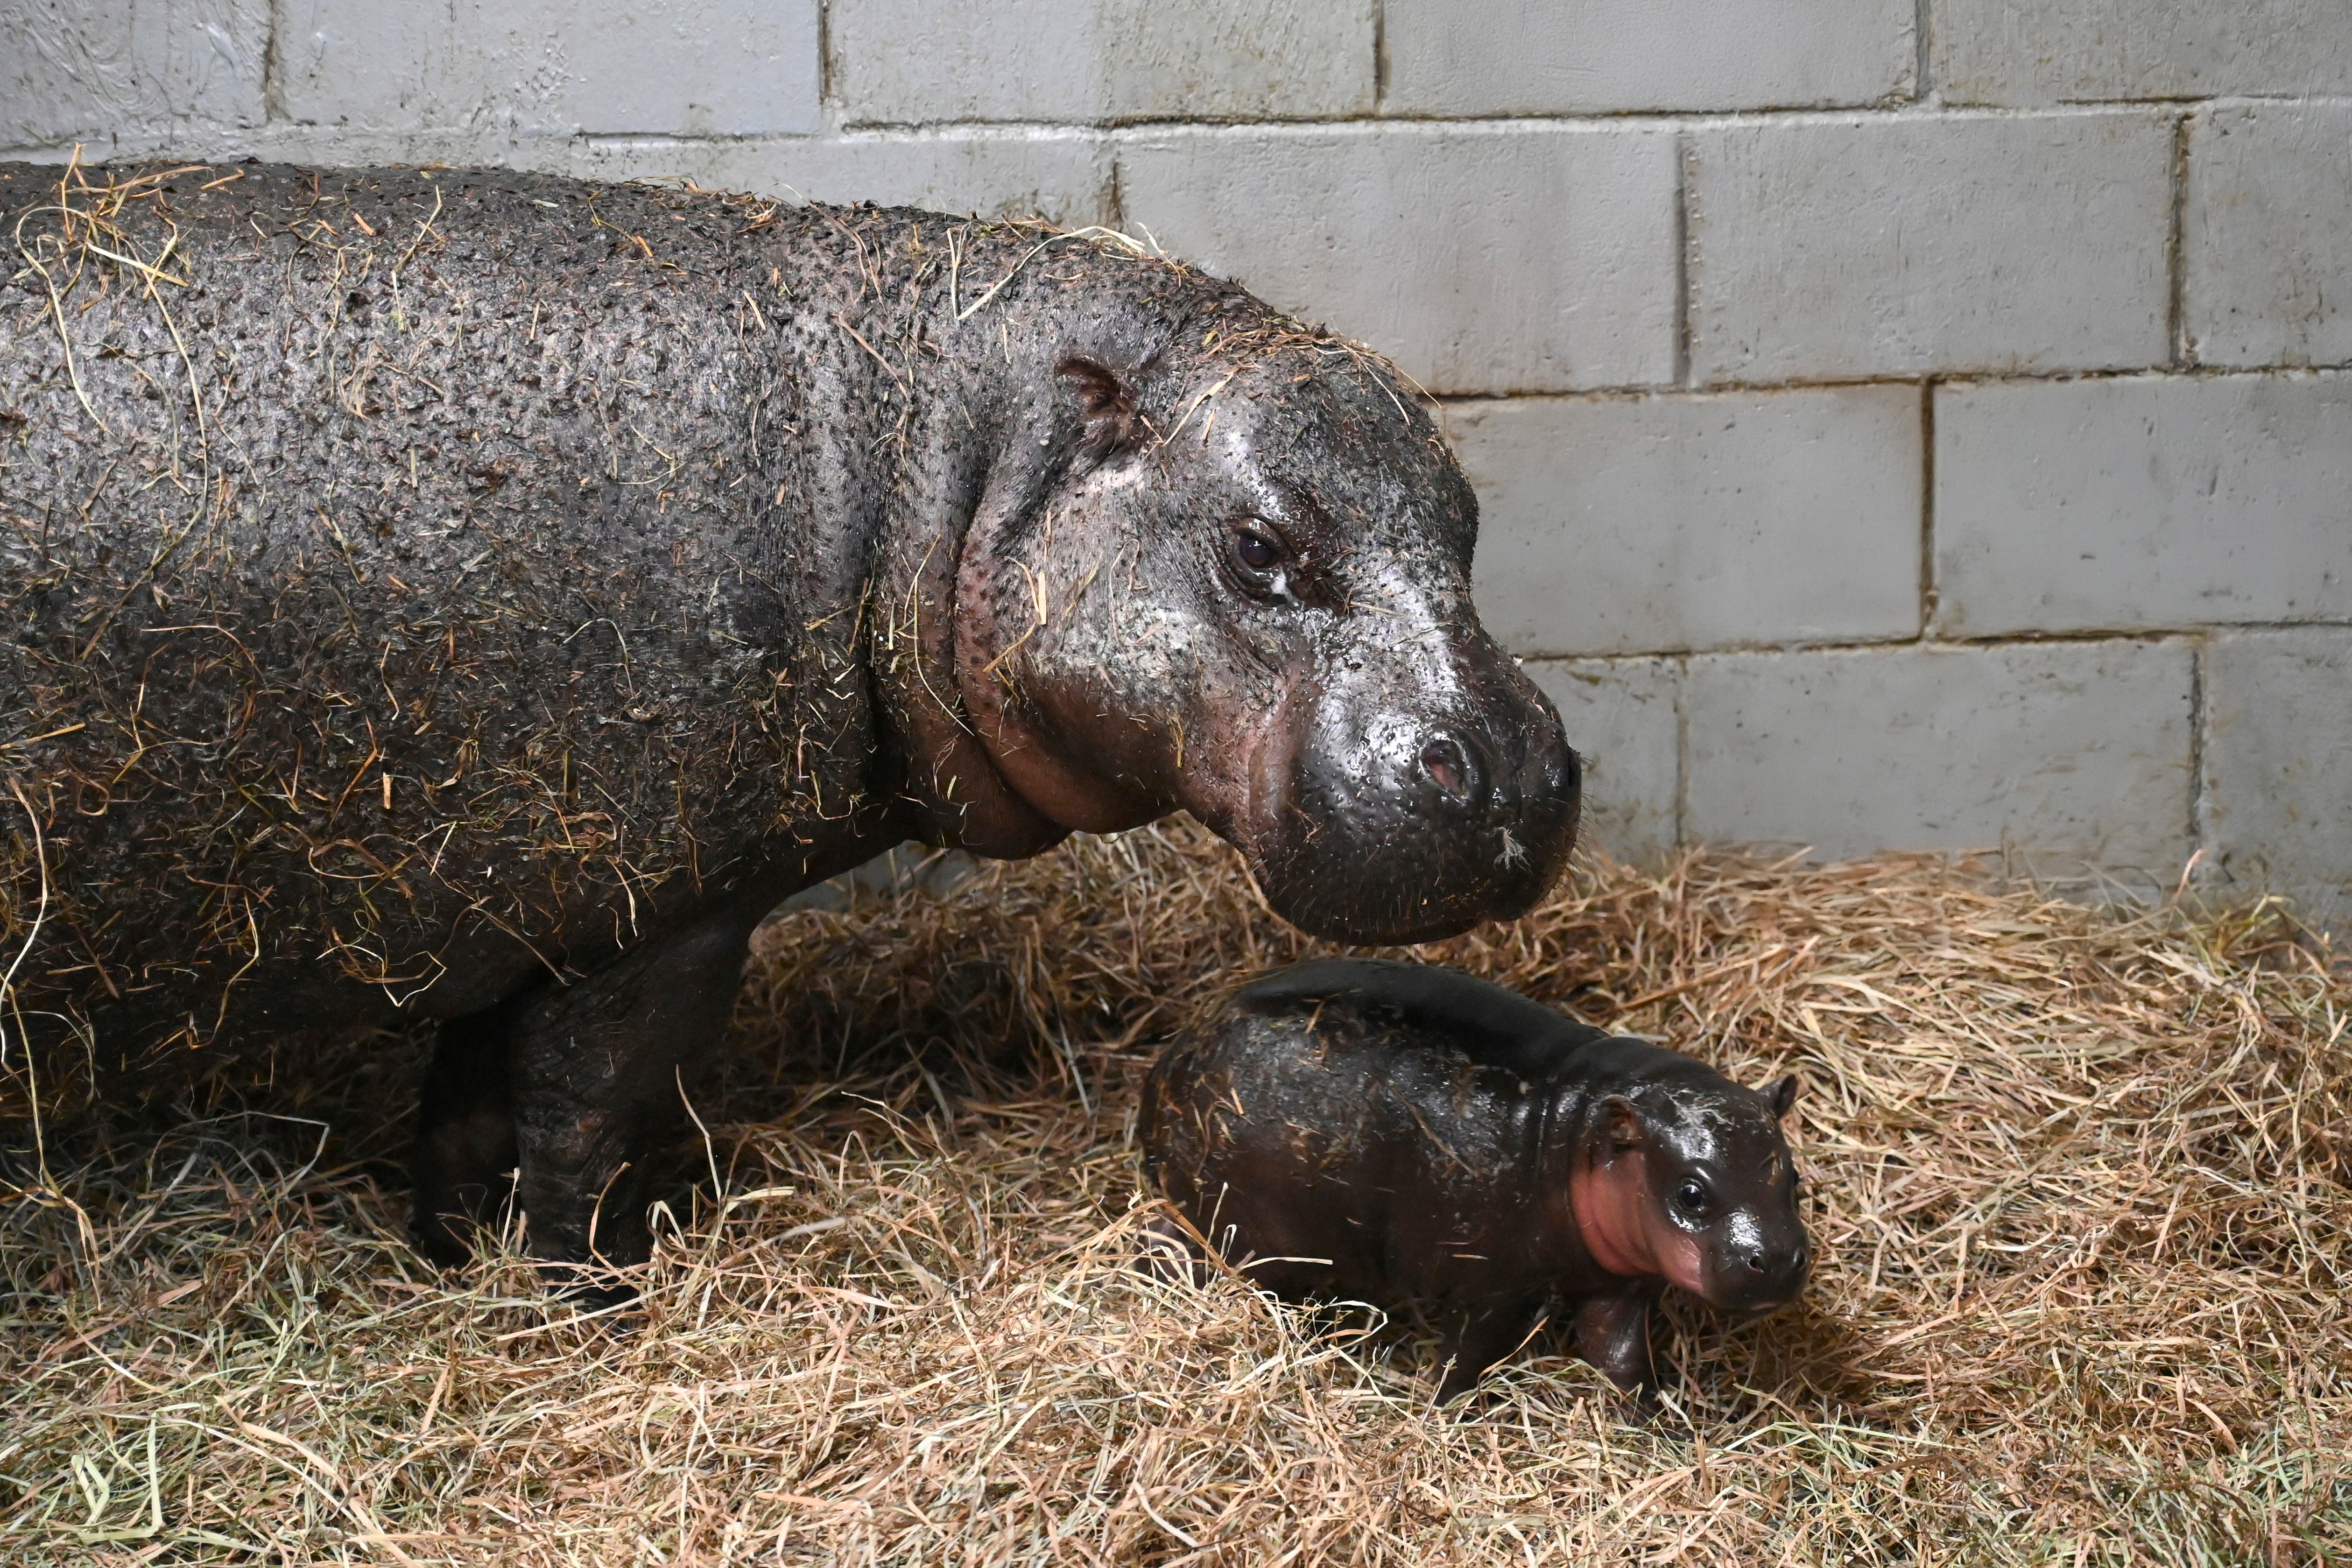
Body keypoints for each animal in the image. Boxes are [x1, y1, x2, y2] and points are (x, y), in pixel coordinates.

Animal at [4, 166, 1580, 1279]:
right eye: (1258, 548)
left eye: (1468, 516)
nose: (1513, 765)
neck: (936, 459)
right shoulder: (651, 913)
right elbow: (578, 1120)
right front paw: (590, 1292)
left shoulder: (520, 897)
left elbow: (465, 1112)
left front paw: (449, 1256)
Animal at [1148, 963, 1806, 1401]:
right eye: (1690, 1193)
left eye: (1793, 1177)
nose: (1775, 1258)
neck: (1578, 1132)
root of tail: (1176, 1051)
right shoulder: (1493, 1286)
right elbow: (1467, 1356)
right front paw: (1441, 1411)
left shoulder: (1617, 1282)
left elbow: (1620, 1355)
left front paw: (1653, 1421)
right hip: (1237, 1223)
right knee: (1170, 1240)